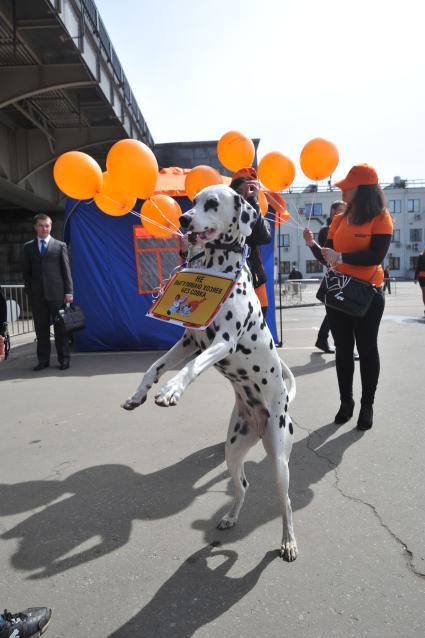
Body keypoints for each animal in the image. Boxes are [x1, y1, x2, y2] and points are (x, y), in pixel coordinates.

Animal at [121, 184, 296, 560]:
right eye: (193, 202)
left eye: (213, 204)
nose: (183, 219)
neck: (218, 268)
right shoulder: (189, 342)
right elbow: (153, 367)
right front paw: (139, 394)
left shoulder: (222, 343)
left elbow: (190, 369)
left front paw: (172, 390)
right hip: (232, 451)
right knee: (242, 485)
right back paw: (230, 517)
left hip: (279, 461)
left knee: (286, 502)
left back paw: (289, 541)